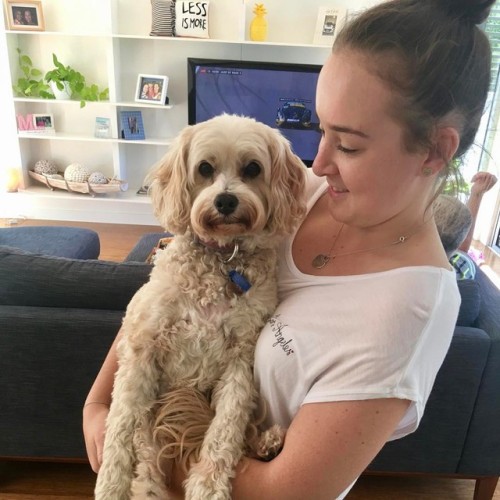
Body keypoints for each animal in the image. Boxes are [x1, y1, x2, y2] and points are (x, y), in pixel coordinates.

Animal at [93, 115, 304, 498]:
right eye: (205, 168)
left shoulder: (240, 359)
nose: (225, 201)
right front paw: (111, 482)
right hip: (150, 444)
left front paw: (208, 484)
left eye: (253, 168)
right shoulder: (142, 347)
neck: (221, 257)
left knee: (243, 433)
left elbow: (226, 427)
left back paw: (268, 442)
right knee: (146, 468)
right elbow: (121, 420)